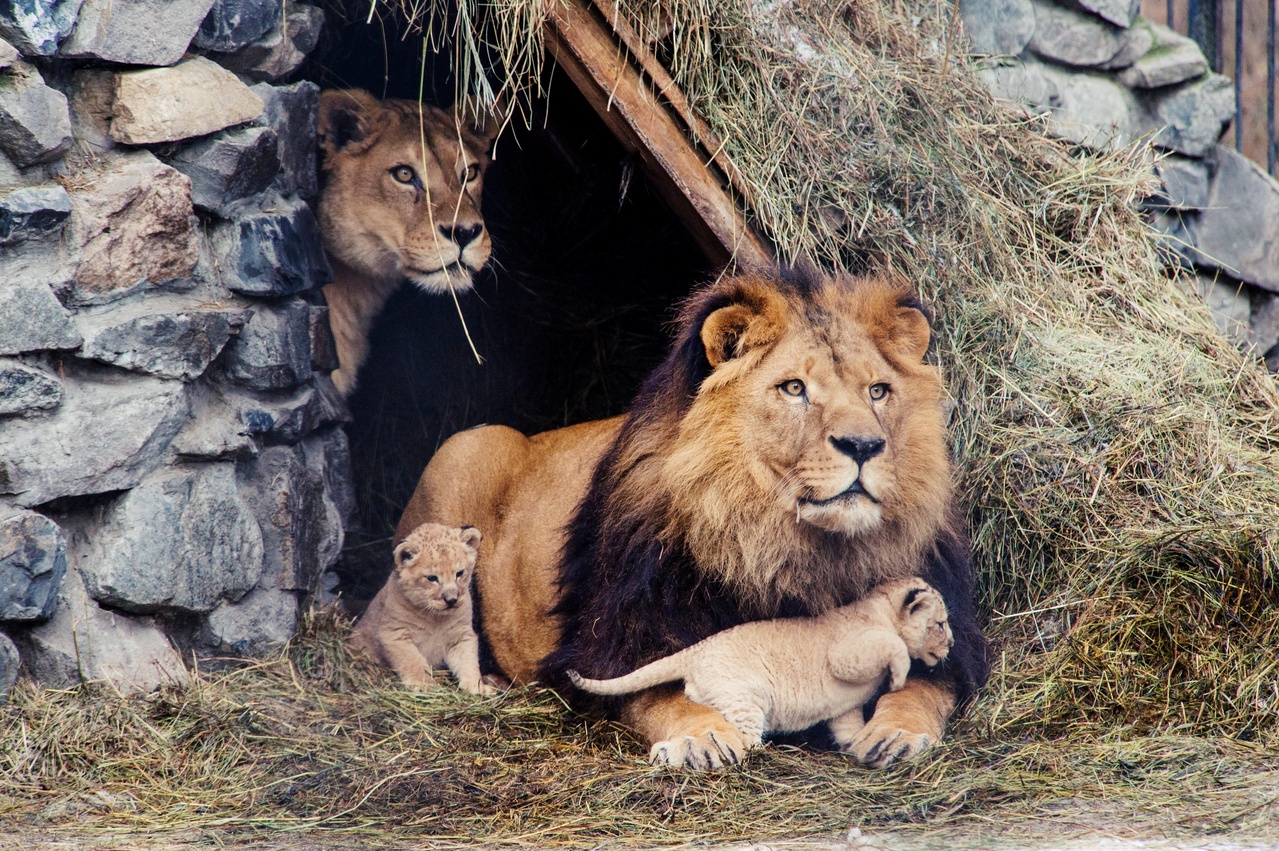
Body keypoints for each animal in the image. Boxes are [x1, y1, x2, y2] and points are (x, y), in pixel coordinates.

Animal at [396, 268, 987, 767]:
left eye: (878, 391)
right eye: (794, 388)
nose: (864, 445)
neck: (788, 546)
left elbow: (926, 686)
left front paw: (896, 731)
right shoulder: (618, 639)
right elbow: (660, 692)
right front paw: (703, 734)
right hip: (465, 446)